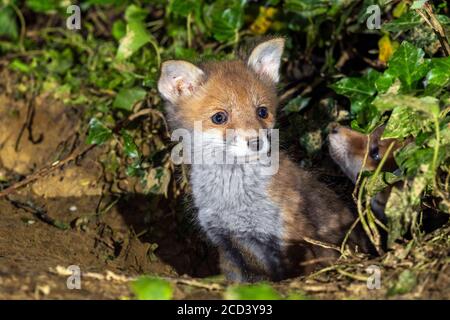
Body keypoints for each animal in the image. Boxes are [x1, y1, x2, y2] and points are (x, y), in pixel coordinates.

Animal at [156, 38, 370, 282]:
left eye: (262, 112)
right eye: (219, 117)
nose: (257, 142)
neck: (234, 200)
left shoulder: (292, 233)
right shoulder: (233, 244)